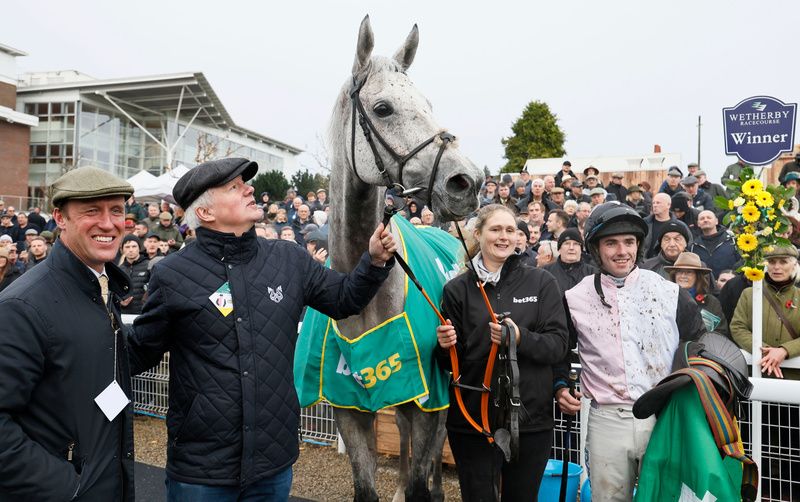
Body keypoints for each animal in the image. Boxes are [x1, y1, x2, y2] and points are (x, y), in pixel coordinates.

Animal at [324, 15, 482, 502]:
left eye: (428, 104)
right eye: (383, 109)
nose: (466, 181)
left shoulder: (429, 403)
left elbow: (419, 483)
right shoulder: (350, 409)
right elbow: (368, 487)